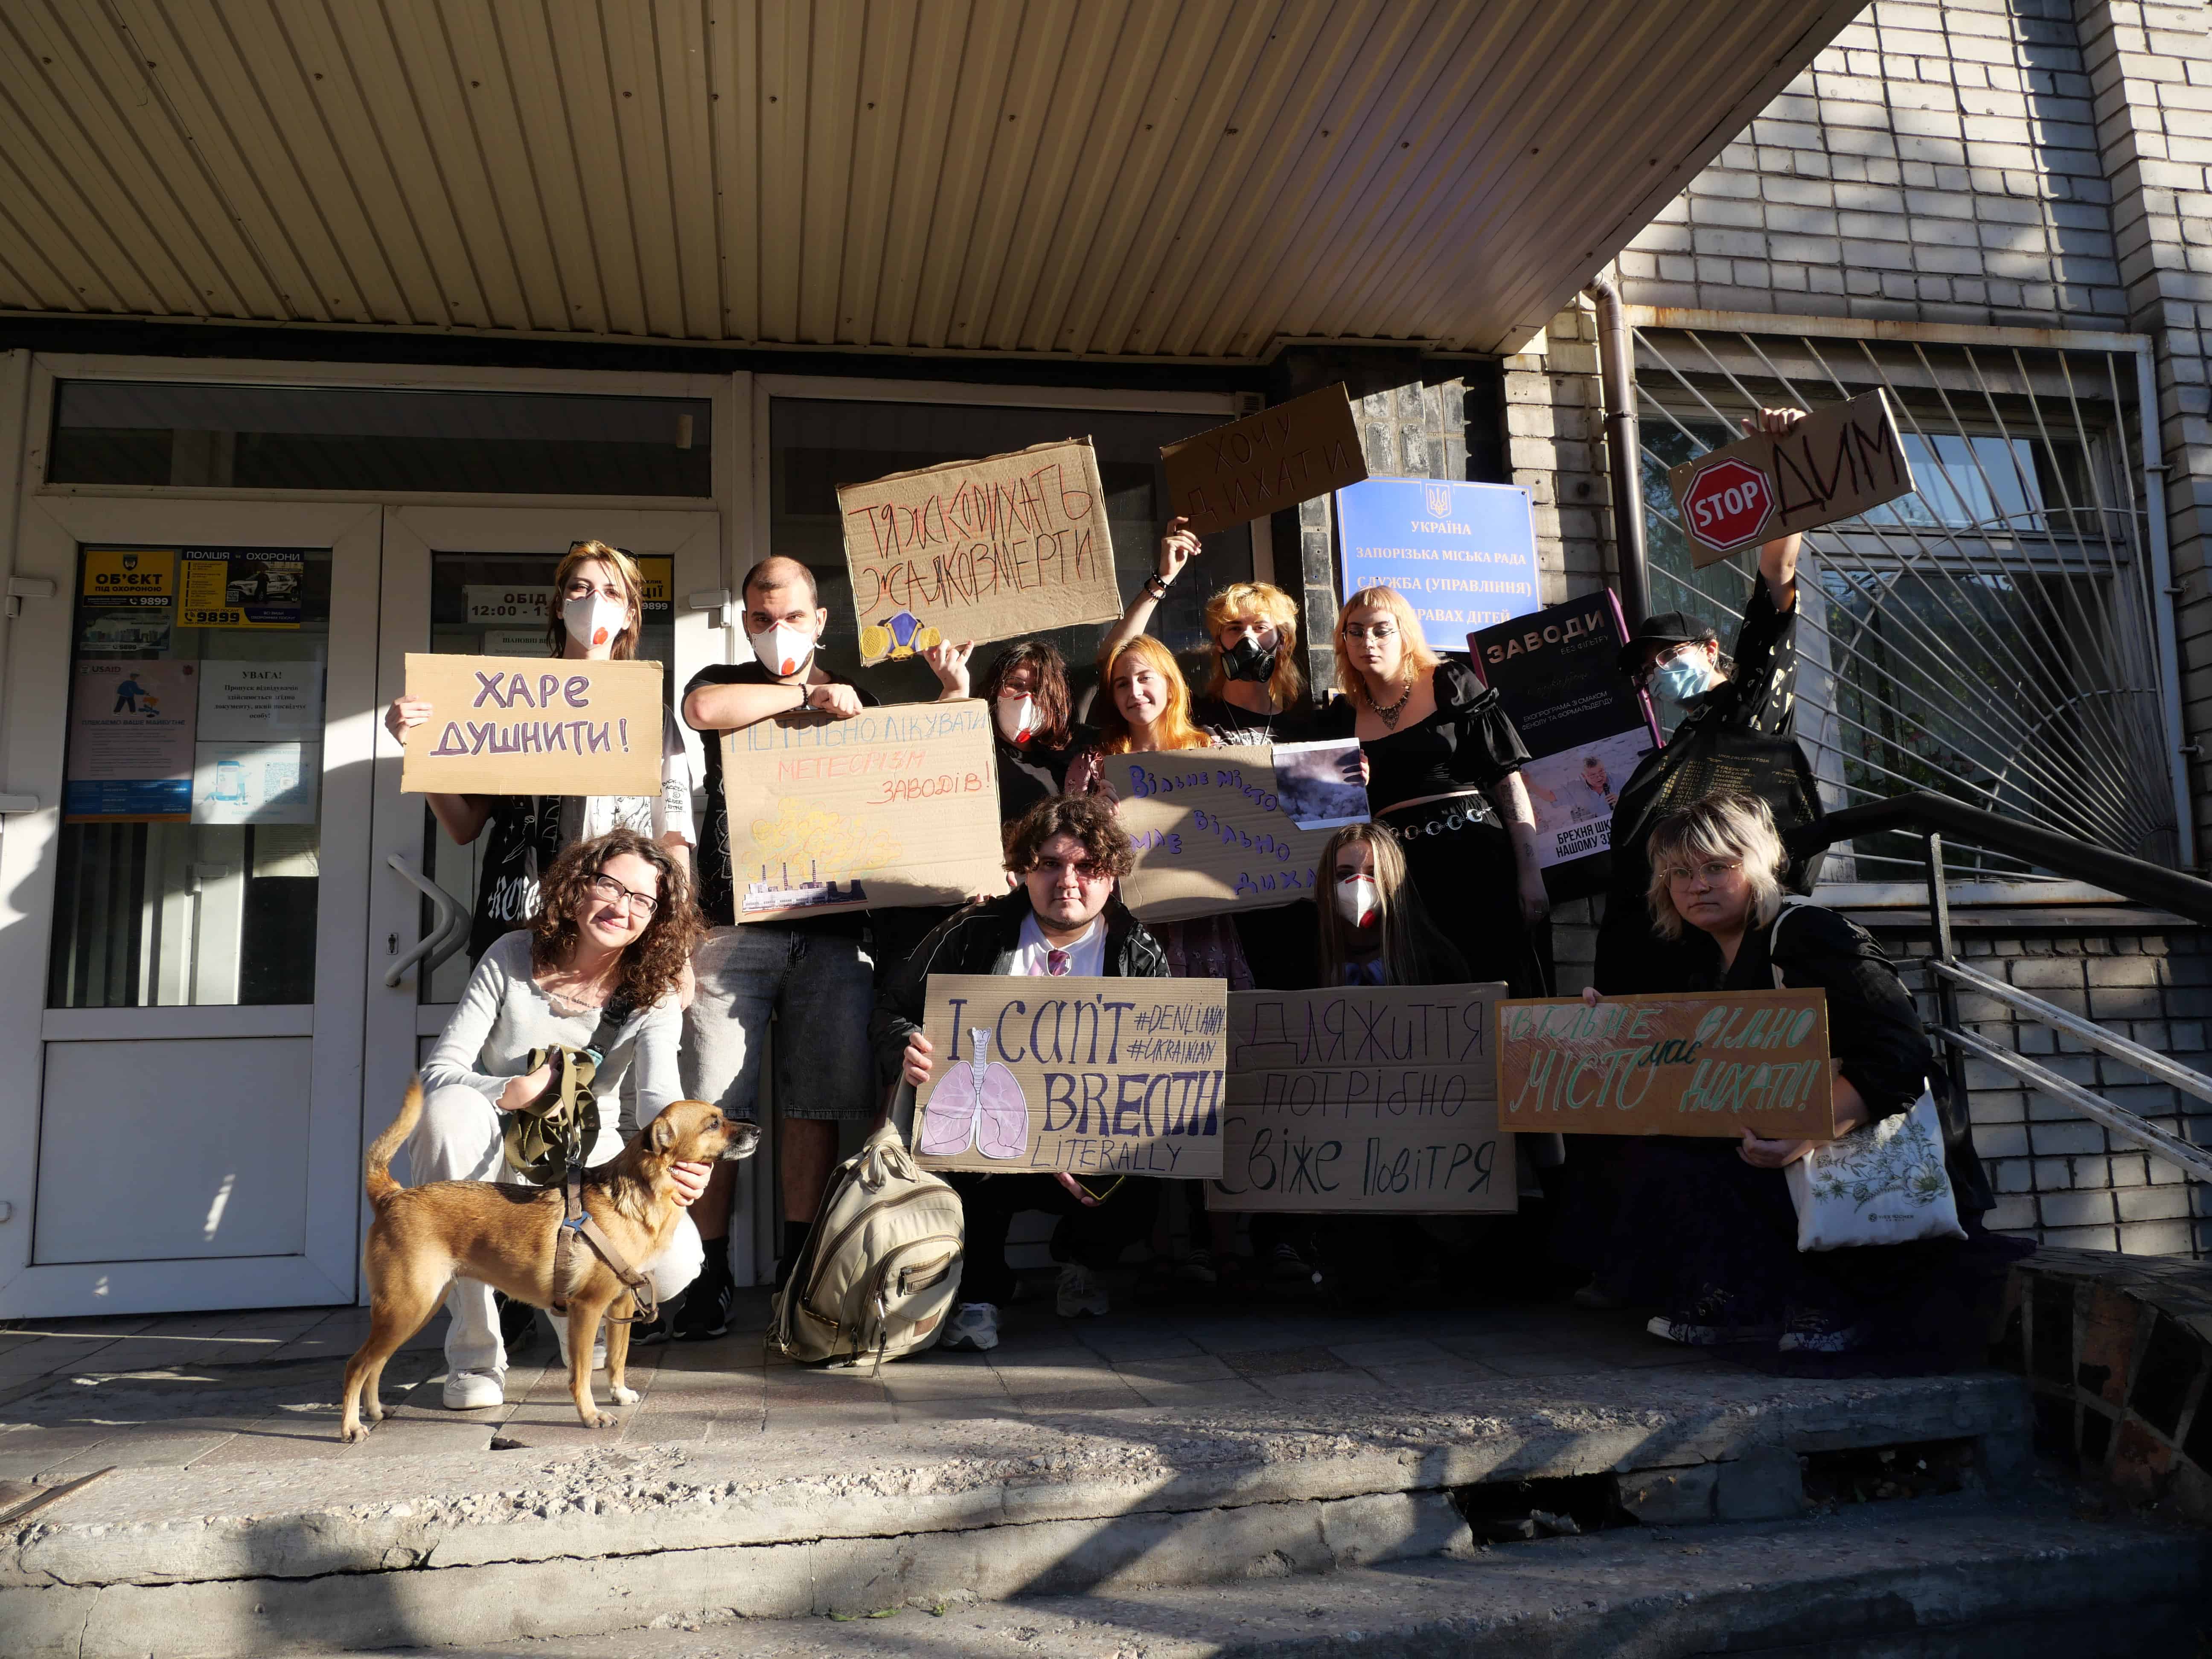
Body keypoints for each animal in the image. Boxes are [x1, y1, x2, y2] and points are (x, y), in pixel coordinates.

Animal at [338, 1079, 761, 1442]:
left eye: (722, 1116)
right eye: (713, 1124)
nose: (757, 1131)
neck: (634, 1197)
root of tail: (392, 1195)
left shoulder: (622, 1304)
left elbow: (618, 1358)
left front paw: (619, 1394)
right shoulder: (587, 1309)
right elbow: (581, 1373)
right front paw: (591, 1416)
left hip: (415, 1310)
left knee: (376, 1363)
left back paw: (375, 1411)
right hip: (407, 1308)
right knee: (357, 1365)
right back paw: (351, 1427)